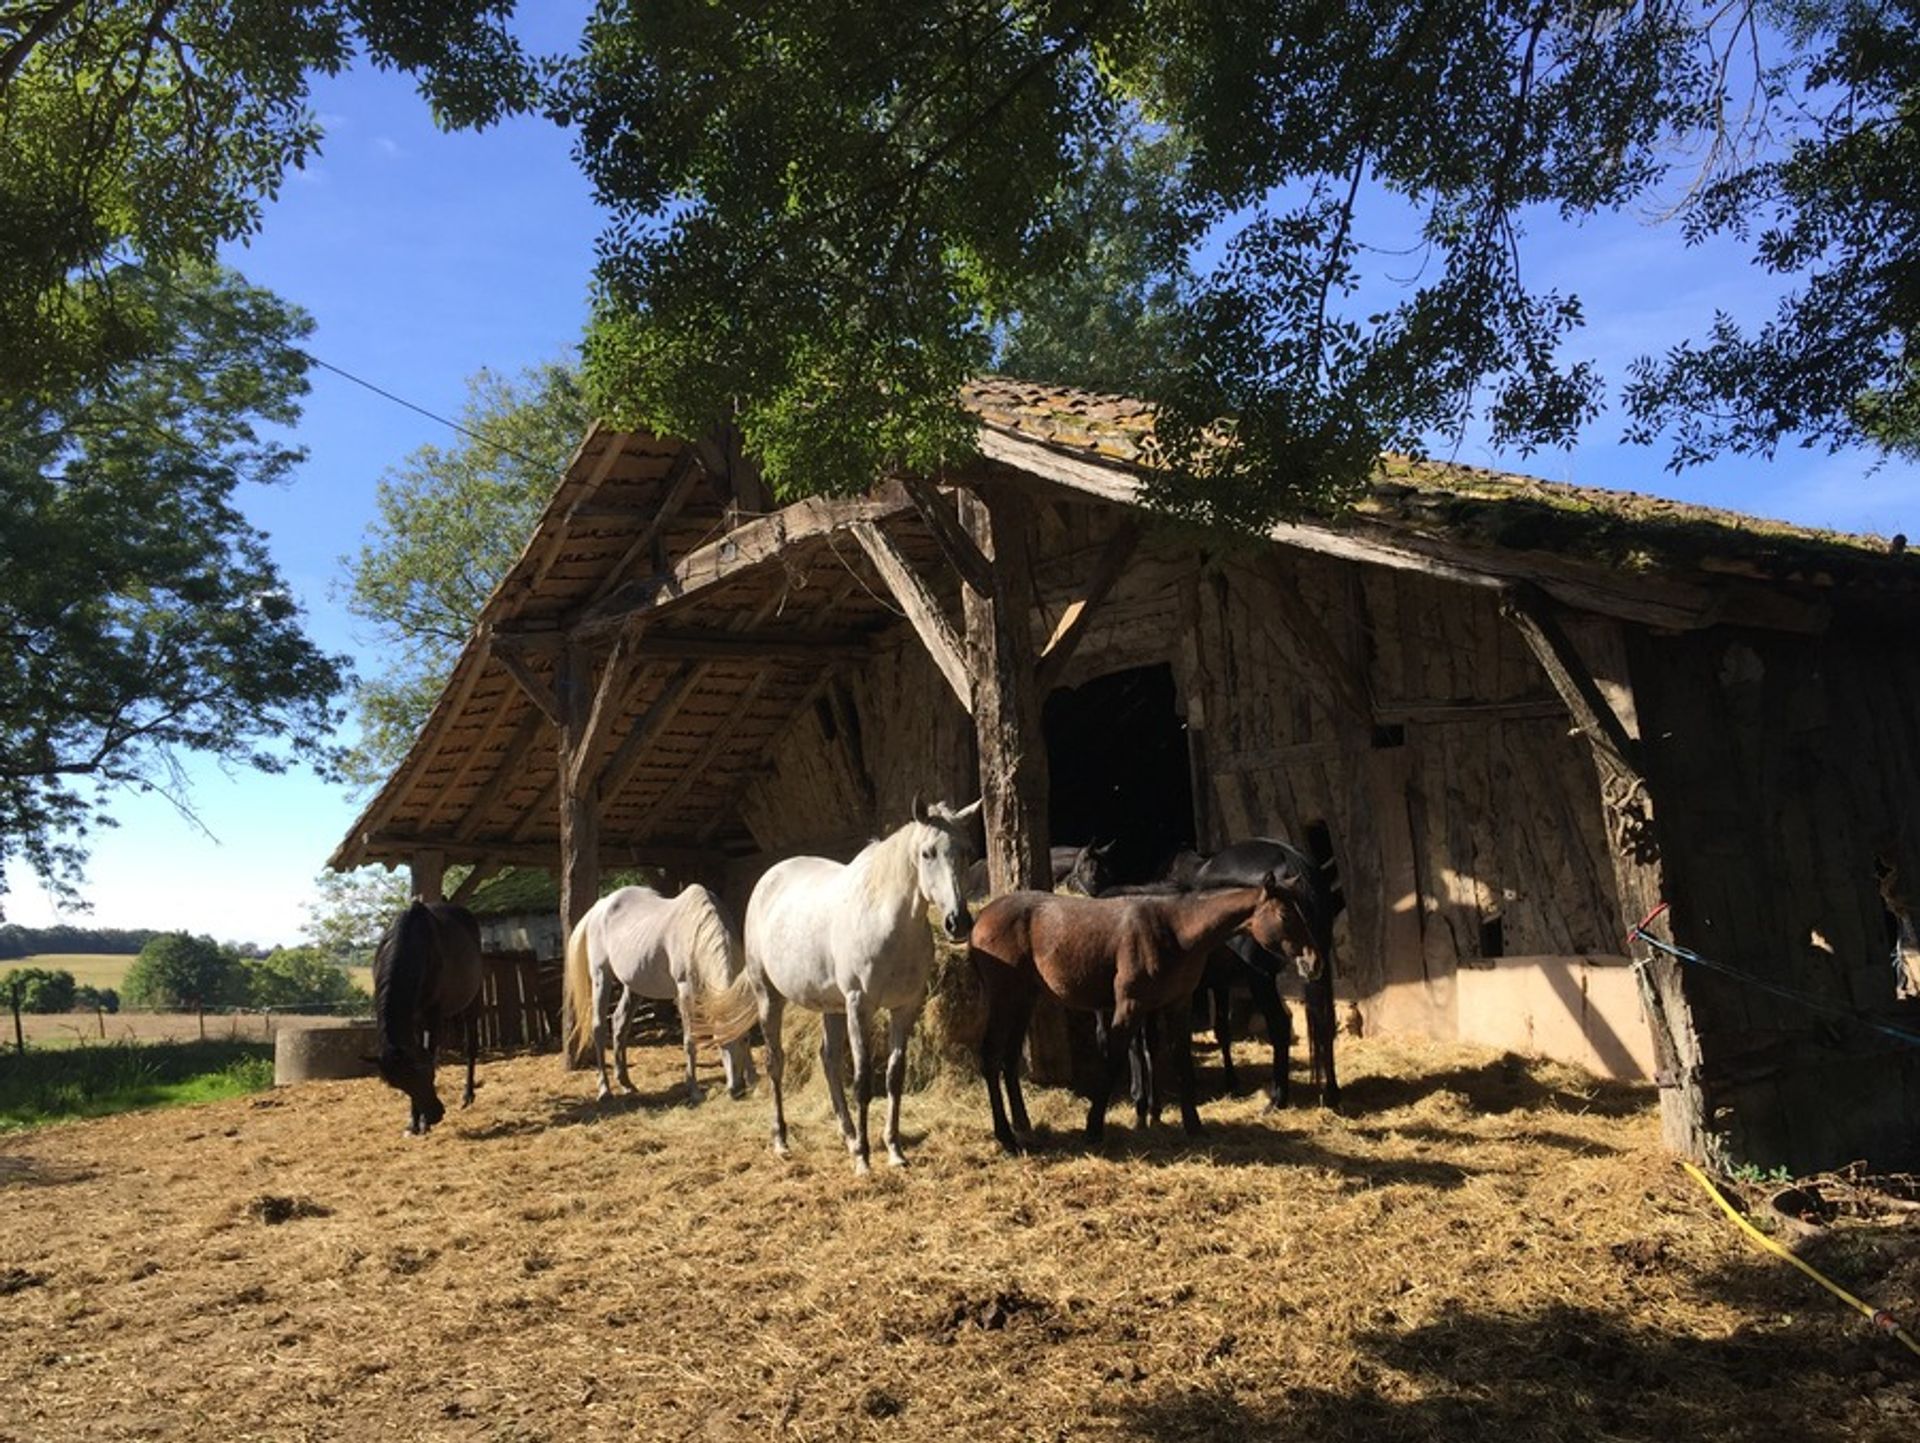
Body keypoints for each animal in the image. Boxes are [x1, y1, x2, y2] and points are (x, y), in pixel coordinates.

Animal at [370, 898, 483, 1135]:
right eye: (400, 1085)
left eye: (426, 1074)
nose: (436, 1115)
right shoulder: (414, 1019)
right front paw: (413, 1122)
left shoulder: (433, 1015)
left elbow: (431, 1053)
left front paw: (422, 1122)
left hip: (472, 1000)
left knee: (471, 1046)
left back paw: (467, 1096)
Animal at [560, 878, 752, 1105]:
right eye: (720, 1043)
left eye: (745, 1040)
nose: (737, 1089)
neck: (696, 931)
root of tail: (600, 906)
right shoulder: (685, 991)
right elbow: (690, 1039)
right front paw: (694, 1091)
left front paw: (754, 1078)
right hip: (601, 975)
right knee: (599, 1027)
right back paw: (604, 1091)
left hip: (633, 985)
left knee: (619, 1023)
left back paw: (626, 1083)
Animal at [698, 794, 983, 1174]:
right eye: (927, 853)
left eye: (966, 850)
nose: (958, 922)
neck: (887, 921)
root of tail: (768, 879)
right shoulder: (859, 1005)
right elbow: (862, 1082)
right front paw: (864, 1159)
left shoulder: (904, 1007)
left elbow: (894, 1076)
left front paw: (894, 1151)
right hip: (769, 996)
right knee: (775, 1062)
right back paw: (782, 1141)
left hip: (830, 1007)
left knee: (828, 1059)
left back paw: (847, 1135)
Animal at [975, 875, 1320, 1159]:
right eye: (1285, 915)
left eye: (1303, 913)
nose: (1313, 962)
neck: (1175, 931)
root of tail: (982, 916)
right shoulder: (1130, 1006)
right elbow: (1115, 1061)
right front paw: (1095, 1127)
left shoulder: (1176, 1005)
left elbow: (1180, 1062)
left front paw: (1192, 1124)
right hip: (1005, 997)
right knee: (991, 1056)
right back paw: (1006, 1137)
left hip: (1023, 999)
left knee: (1008, 1059)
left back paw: (1024, 1128)